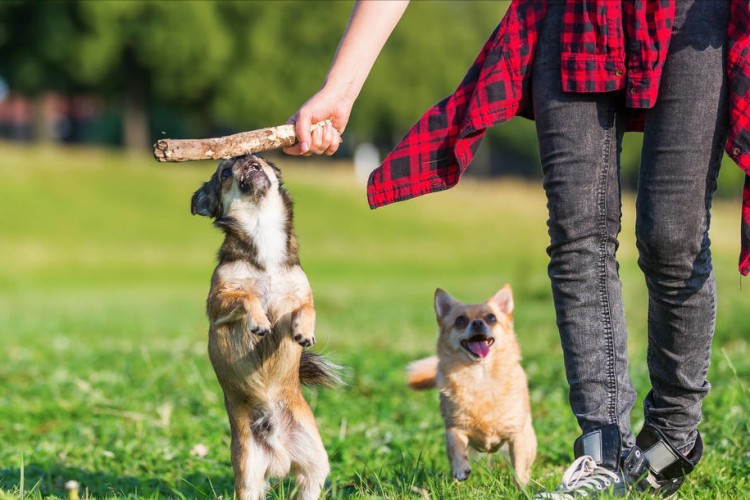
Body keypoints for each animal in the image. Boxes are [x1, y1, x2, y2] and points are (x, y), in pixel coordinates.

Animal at [191, 155, 340, 500]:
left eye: (264, 159)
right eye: (225, 172)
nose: (247, 159)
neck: (263, 235)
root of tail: (279, 455)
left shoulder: (298, 294)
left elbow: (307, 307)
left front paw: (304, 332)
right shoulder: (218, 301)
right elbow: (246, 295)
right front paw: (258, 321)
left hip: (316, 460)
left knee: (310, 484)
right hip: (248, 470)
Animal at [408, 288, 536, 486]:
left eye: (491, 318)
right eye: (460, 320)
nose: (477, 323)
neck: (480, 376)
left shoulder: (517, 434)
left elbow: (520, 465)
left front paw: (521, 486)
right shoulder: (454, 428)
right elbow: (456, 447)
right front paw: (460, 468)